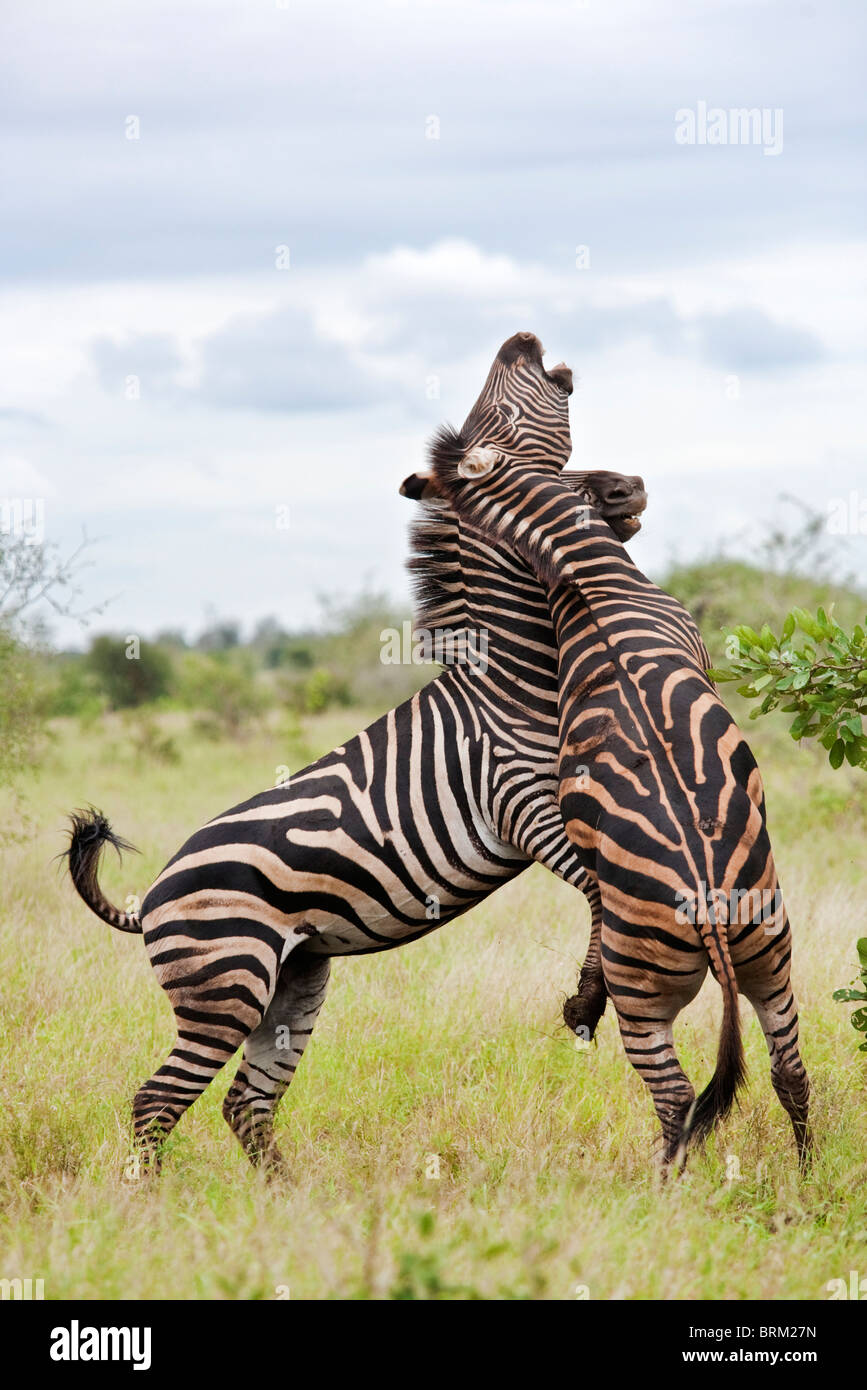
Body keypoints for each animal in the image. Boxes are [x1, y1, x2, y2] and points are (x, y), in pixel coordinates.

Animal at [64, 334, 646, 1175]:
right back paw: (148, 1199)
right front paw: (585, 1001)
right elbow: (604, 891)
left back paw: (290, 1202)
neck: (514, 674)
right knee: (157, 1101)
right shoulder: (525, 808)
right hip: (224, 987)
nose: (632, 485)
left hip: (294, 981)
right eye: (548, 470)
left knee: (245, 1102)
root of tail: (150, 900)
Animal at [429, 331, 812, 1172]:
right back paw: (687, 1188)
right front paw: (579, 997)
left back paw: (792, 1177)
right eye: (503, 400)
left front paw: (578, 997)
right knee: (698, 1092)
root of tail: (709, 910)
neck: (584, 574)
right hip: (696, 979)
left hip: (755, 954)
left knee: (773, 1075)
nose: (632, 484)